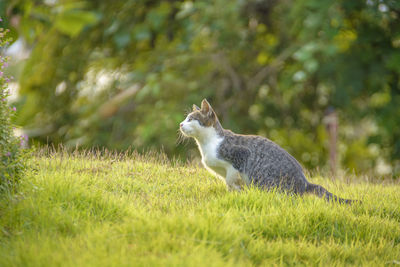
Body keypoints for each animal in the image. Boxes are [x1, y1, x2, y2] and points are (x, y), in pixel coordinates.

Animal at [180, 99, 354, 204]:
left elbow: (231, 178)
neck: (207, 144)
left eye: (191, 119)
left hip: (266, 180)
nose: (181, 124)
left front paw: (238, 189)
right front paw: (233, 194)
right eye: (185, 118)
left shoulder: (240, 156)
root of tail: (304, 183)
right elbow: (228, 183)